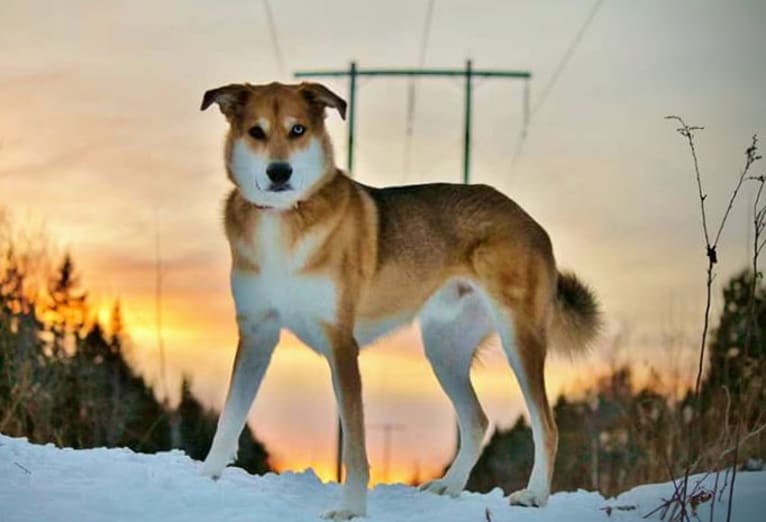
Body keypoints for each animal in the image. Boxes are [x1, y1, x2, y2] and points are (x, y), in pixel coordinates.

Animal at [200, 80, 608, 516]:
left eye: (297, 130)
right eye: (256, 131)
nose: (279, 172)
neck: (283, 218)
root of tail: (528, 219)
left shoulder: (341, 344)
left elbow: (355, 446)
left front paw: (352, 509)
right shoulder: (256, 333)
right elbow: (229, 418)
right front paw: (205, 478)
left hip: (519, 340)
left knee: (546, 425)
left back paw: (534, 495)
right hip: (444, 349)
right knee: (477, 421)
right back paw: (450, 485)